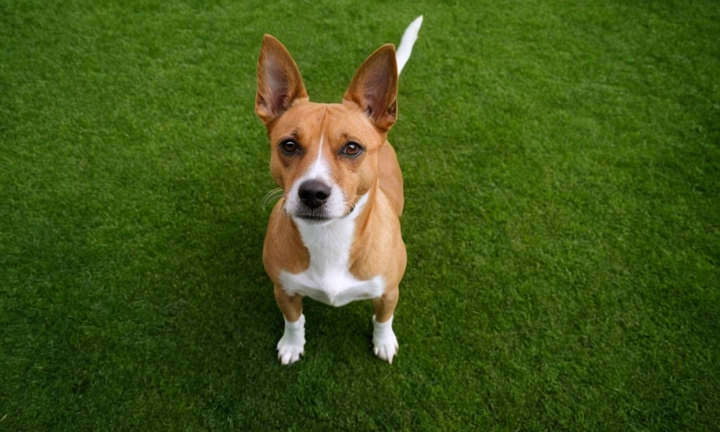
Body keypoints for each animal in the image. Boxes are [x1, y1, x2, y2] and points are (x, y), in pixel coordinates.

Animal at [256, 16, 422, 364]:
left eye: (352, 148)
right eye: (288, 145)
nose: (313, 193)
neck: (330, 237)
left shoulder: (389, 291)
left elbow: (383, 318)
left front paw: (383, 342)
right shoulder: (284, 290)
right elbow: (294, 321)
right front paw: (292, 345)